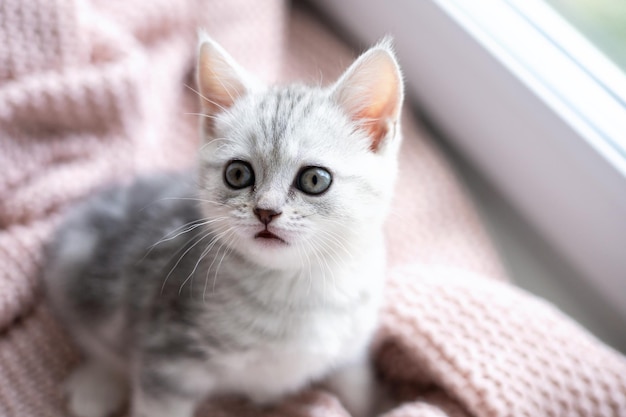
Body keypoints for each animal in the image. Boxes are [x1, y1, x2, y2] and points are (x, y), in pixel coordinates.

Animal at [44, 31, 404, 416]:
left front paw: (386, 404)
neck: (298, 288)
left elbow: (358, 389)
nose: (266, 211)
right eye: (237, 174)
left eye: (314, 179)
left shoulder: (351, 347)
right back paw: (97, 385)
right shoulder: (169, 356)